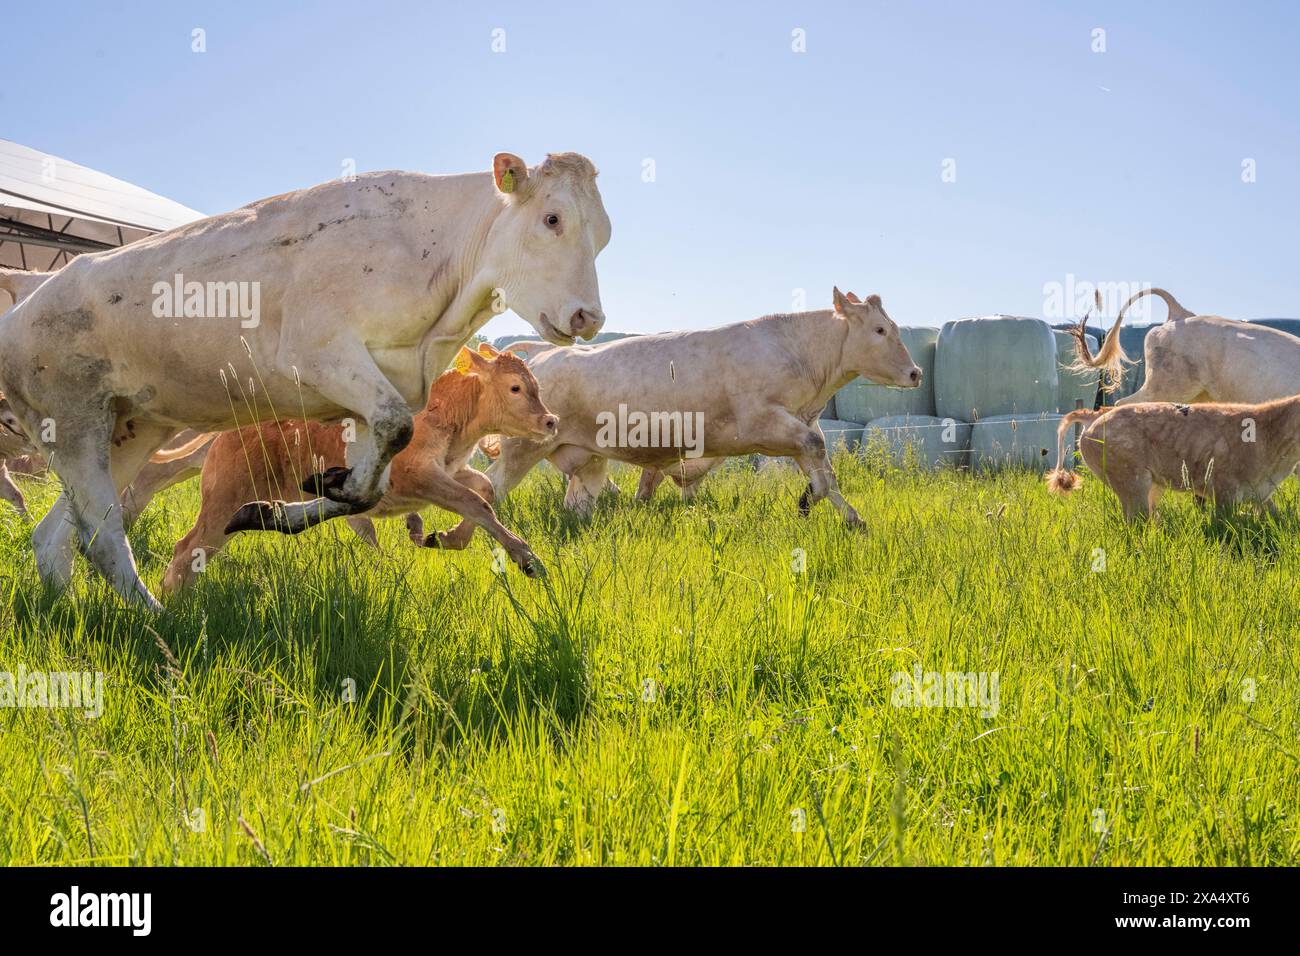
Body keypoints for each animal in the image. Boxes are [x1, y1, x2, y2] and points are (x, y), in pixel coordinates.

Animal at [159, 345, 556, 590]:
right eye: (516, 388)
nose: (551, 421)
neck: (445, 414)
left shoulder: (451, 470)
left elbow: (483, 490)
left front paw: (442, 537)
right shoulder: (418, 476)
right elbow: (477, 503)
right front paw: (527, 559)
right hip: (224, 498)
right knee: (187, 549)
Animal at [488, 291, 925, 530]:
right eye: (880, 330)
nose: (916, 372)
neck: (795, 349)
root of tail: (542, 354)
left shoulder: (801, 427)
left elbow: (824, 473)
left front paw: (846, 516)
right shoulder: (766, 424)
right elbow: (817, 454)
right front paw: (813, 503)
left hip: (588, 462)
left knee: (577, 503)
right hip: (521, 450)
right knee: (491, 486)